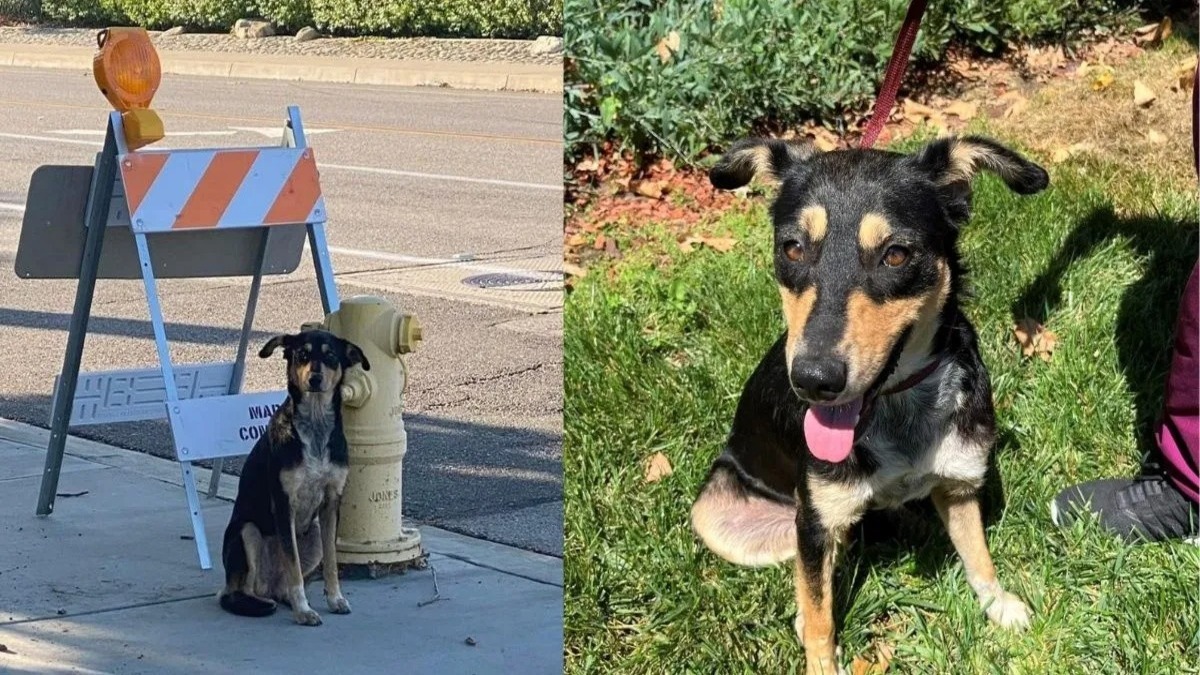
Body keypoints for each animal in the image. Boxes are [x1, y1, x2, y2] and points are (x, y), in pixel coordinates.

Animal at [218, 329, 369, 624]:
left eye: (331, 356)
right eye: (302, 355)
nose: (315, 378)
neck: (316, 426)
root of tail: (270, 587)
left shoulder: (332, 503)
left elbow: (331, 562)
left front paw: (335, 599)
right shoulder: (284, 502)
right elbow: (294, 565)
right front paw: (303, 610)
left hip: (315, 534)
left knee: (281, 584)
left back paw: (286, 597)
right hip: (247, 531)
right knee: (242, 589)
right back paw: (263, 603)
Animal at [696, 133, 1051, 667]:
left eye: (896, 255)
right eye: (792, 248)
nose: (813, 379)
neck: (897, 406)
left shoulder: (960, 483)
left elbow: (978, 554)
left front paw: (998, 603)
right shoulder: (814, 522)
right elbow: (820, 613)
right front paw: (822, 664)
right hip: (725, 515)